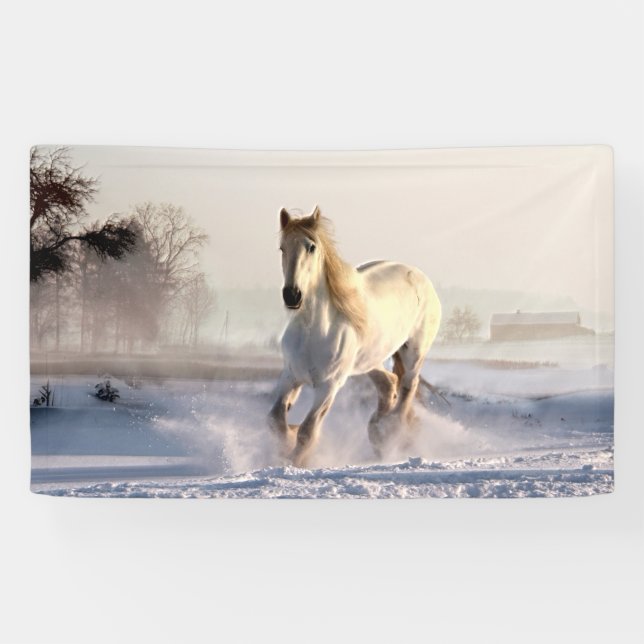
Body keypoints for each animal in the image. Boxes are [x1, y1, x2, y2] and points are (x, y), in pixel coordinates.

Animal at [268, 206, 441, 467]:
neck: (313, 331)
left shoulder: (329, 386)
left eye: (311, 247)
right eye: (282, 248)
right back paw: (377, 431)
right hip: (369, 360)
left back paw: (390, 432)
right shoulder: (290, 376)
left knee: (407, 388)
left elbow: (307, 432)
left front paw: (295, 462)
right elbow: (276, 420)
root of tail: (421, 278)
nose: (292, 295)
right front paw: (286, 442)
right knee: (389, 383)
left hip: (413, 353)